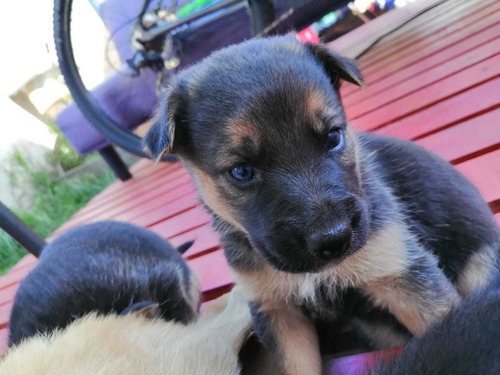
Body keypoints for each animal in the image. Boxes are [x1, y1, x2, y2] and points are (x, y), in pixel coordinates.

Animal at [143, 36, 498, 375]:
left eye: (333, 137)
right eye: (241, 171)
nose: (334, 239)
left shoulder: (402, 274)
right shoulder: (278, 311)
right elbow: (296, 367)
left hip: (479, 267)